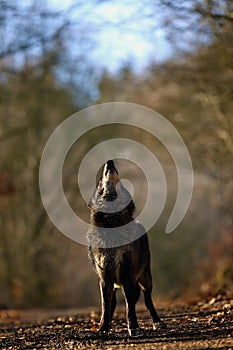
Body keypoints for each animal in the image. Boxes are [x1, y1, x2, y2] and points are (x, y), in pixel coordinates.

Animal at [87, 160, 166, 334]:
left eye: (121, 180)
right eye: (101, 179)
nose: (110, 162)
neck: (112, 222)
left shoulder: (128, 274)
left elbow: (130, 305)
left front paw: (134, 327)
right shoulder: (104, 277)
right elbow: (105, 305)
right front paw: (103, 328)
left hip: (145, 278)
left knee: (148, 301)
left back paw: (158, 322)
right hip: (115, 283)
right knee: (112, 303)